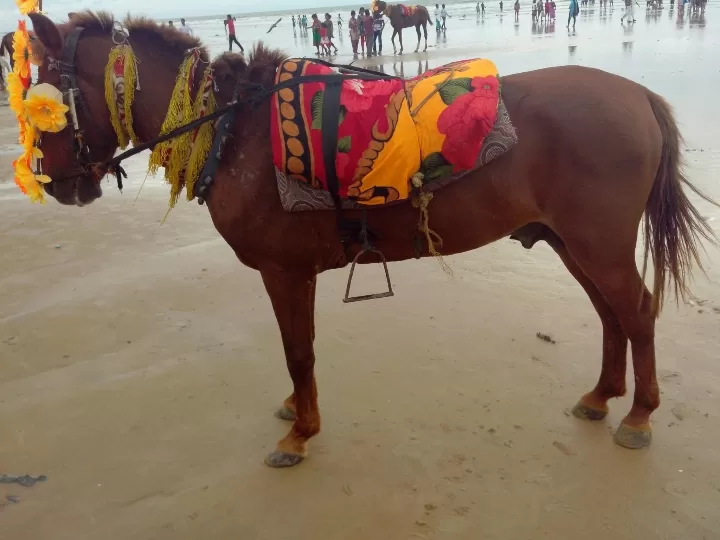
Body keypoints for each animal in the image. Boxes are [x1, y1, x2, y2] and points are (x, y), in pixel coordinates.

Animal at [26, 11, 716, 468]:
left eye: (45, 105)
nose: (55, 184)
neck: (234, 128)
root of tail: (636, 93)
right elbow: (297, 354)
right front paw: (297, 413)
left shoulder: (285, 272)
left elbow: (298, 353)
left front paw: (301, 431)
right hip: (570, 243)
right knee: (611, 315)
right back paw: (602, 396)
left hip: (597, 244)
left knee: (637, 313)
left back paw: (639, 414)